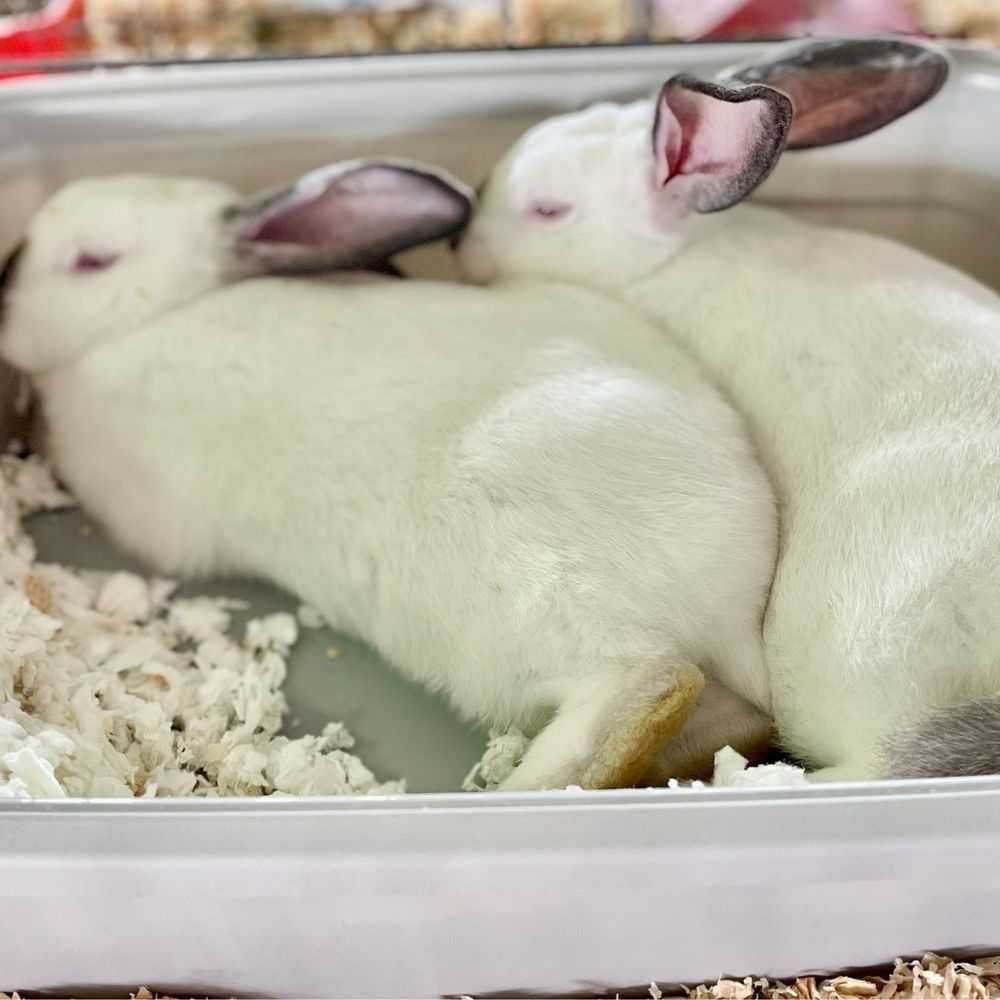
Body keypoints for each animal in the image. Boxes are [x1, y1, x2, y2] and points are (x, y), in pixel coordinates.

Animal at [0, 157, 779, 792]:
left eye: (91, 261)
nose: (4, 299)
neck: (153, 316)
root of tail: (734, 613)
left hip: (531, 602)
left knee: (646, 685)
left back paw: (526, 789)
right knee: (727, 722)